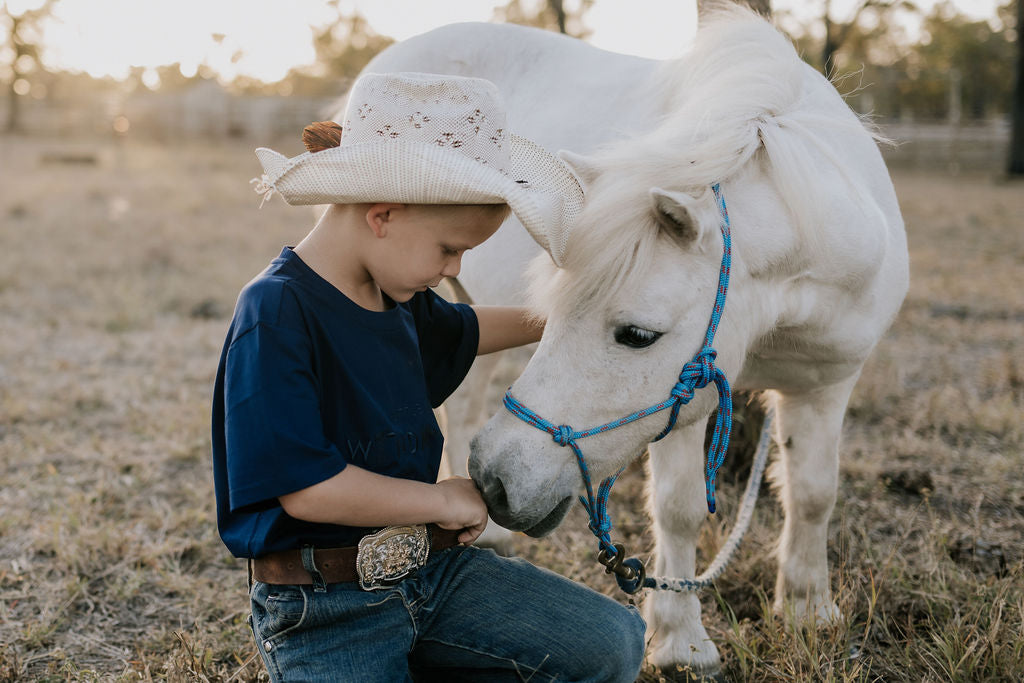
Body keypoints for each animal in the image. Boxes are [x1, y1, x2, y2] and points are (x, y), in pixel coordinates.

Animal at [358, 6, 905, 679]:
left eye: (638, 336)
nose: (494, 482)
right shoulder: (687, 403)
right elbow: (679, 509)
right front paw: (681, 642)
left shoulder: (827, 384)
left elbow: (813, 494)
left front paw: (809, 610)